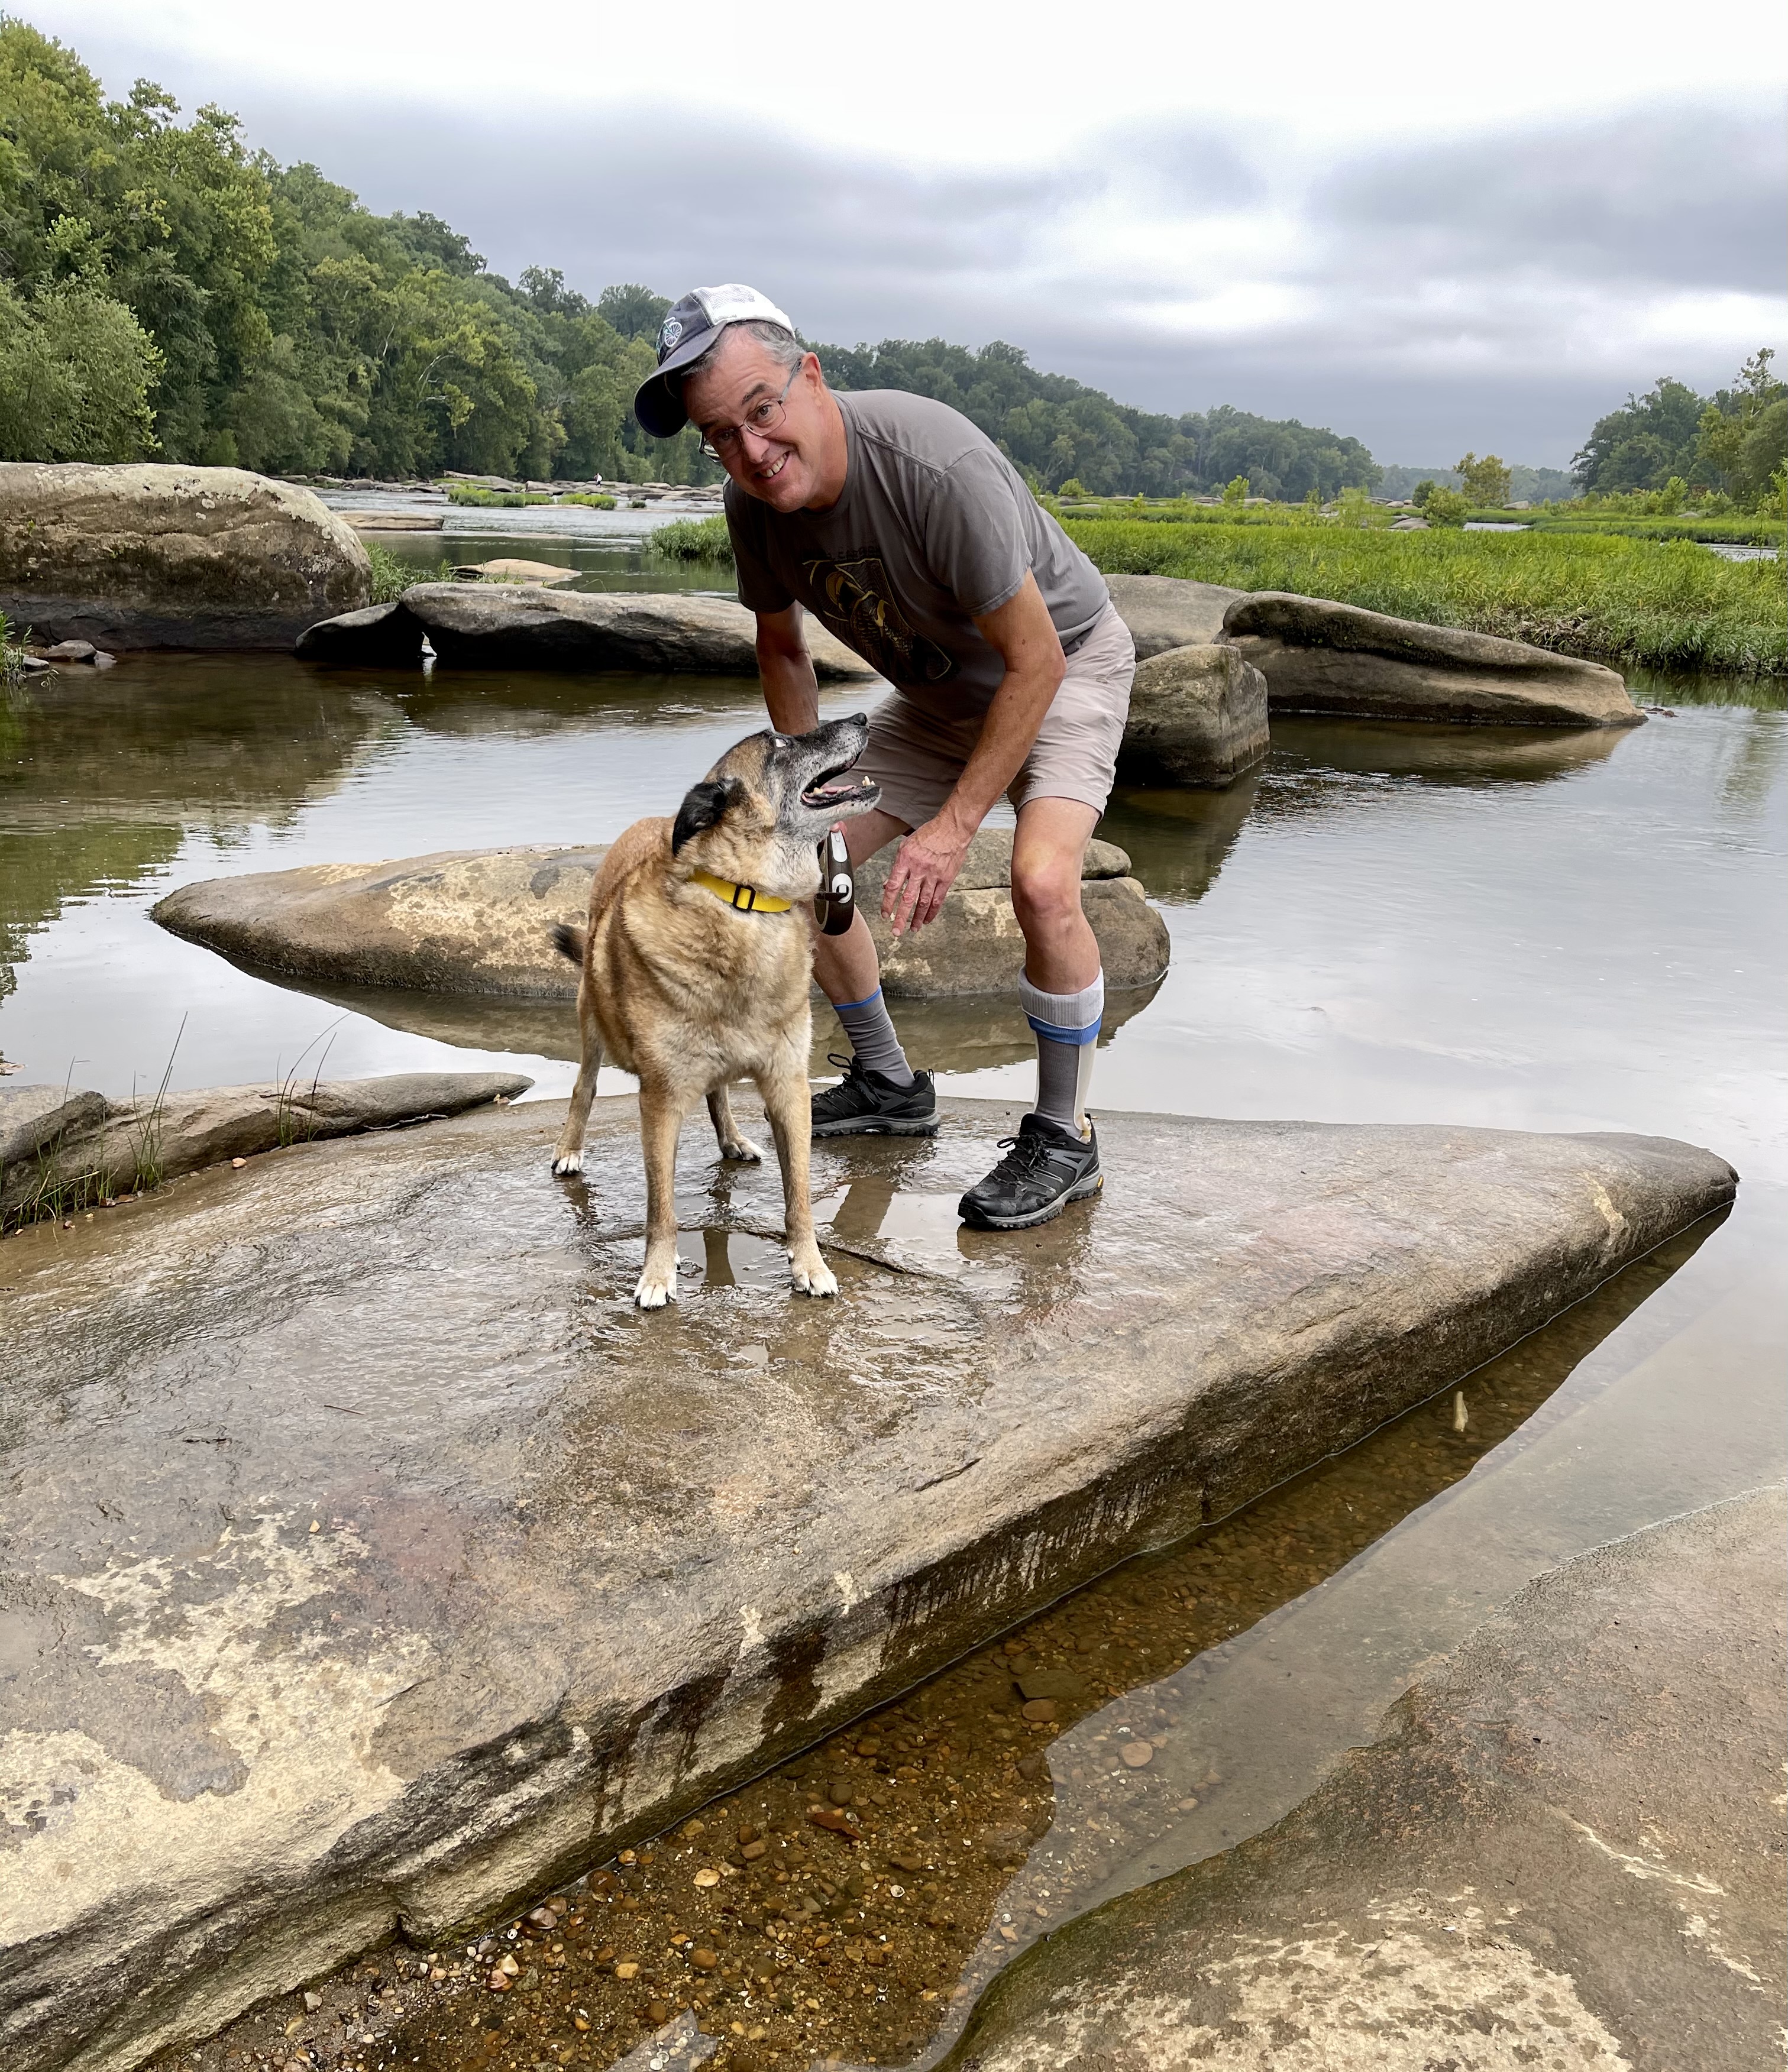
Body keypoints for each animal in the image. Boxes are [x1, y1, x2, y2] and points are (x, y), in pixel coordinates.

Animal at [550, 714, 880, 1309]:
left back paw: (732, 1139)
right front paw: (657, 1275)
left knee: (719, 1093)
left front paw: (809, 1265)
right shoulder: (659, 1102)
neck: (744, 898)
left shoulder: (789, 1089)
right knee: (583, 1087)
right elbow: (661, 1207)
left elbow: (798, 1195)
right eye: (779, 744)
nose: (863, 718)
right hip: (591, 1023)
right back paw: (569, 1149)